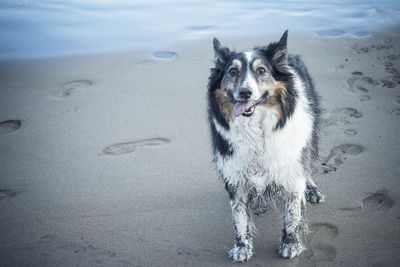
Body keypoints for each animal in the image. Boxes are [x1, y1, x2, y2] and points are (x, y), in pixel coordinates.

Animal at [206, 30, 324, 262]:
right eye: (232, 71)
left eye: (261, 71)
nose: (245, 92)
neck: (257, 129)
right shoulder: (235, 174)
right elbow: (239, 217)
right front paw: (242, 247)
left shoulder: (292, 169)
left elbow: (292, 214)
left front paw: (290, 244)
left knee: (308, 165)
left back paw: (312, 190)